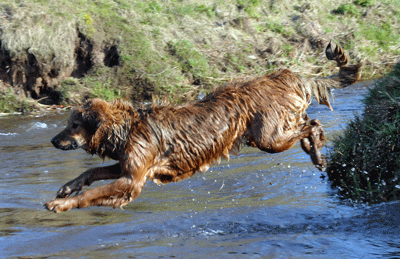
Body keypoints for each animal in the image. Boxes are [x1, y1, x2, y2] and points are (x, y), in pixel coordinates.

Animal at [45, 42, 360, 213]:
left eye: (73, 125)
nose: (52, 141)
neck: (126, 130)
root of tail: (286, 75)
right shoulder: (126, 168)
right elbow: (92, 173)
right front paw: (67, 188)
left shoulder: (132, 180)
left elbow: (91, 194)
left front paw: (60, 204)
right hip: (272, 133)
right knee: (306, 122)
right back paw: (313, 150)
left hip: (268, 138)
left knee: (313, 124)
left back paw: (316, 152)